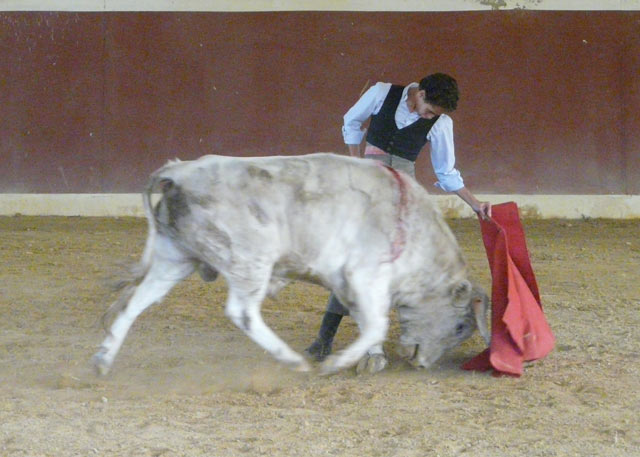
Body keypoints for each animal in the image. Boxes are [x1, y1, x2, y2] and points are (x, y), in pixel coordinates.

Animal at [92, 153, 490, 374]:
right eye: (460, 326)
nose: (422, 364)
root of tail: (179, 173)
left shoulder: (346, 283)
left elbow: (367, 322)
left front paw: (370, 358)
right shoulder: (365, 275)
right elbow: (376, 324)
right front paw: (337, 363)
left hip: (174, 257)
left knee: (135, 303)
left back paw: (103, 361)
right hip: (250, 259)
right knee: (243, 312)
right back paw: (293, 361)